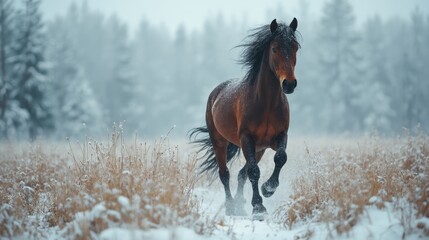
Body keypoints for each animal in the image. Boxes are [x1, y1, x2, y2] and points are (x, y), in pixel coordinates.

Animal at [189, 18, 300, 221]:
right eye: (275, 49)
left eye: (295, 47)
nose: (289, 84)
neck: (266, 103)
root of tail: (215, 92)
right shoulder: (246, 138)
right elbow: (254, 171)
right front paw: (259, 208)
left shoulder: (279, 136)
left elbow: (280, 158)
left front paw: (268, 189)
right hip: (220, 141)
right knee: (225, 174)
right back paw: (231, 207)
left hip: (259, 149)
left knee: (242, 174)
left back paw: (240, 205)